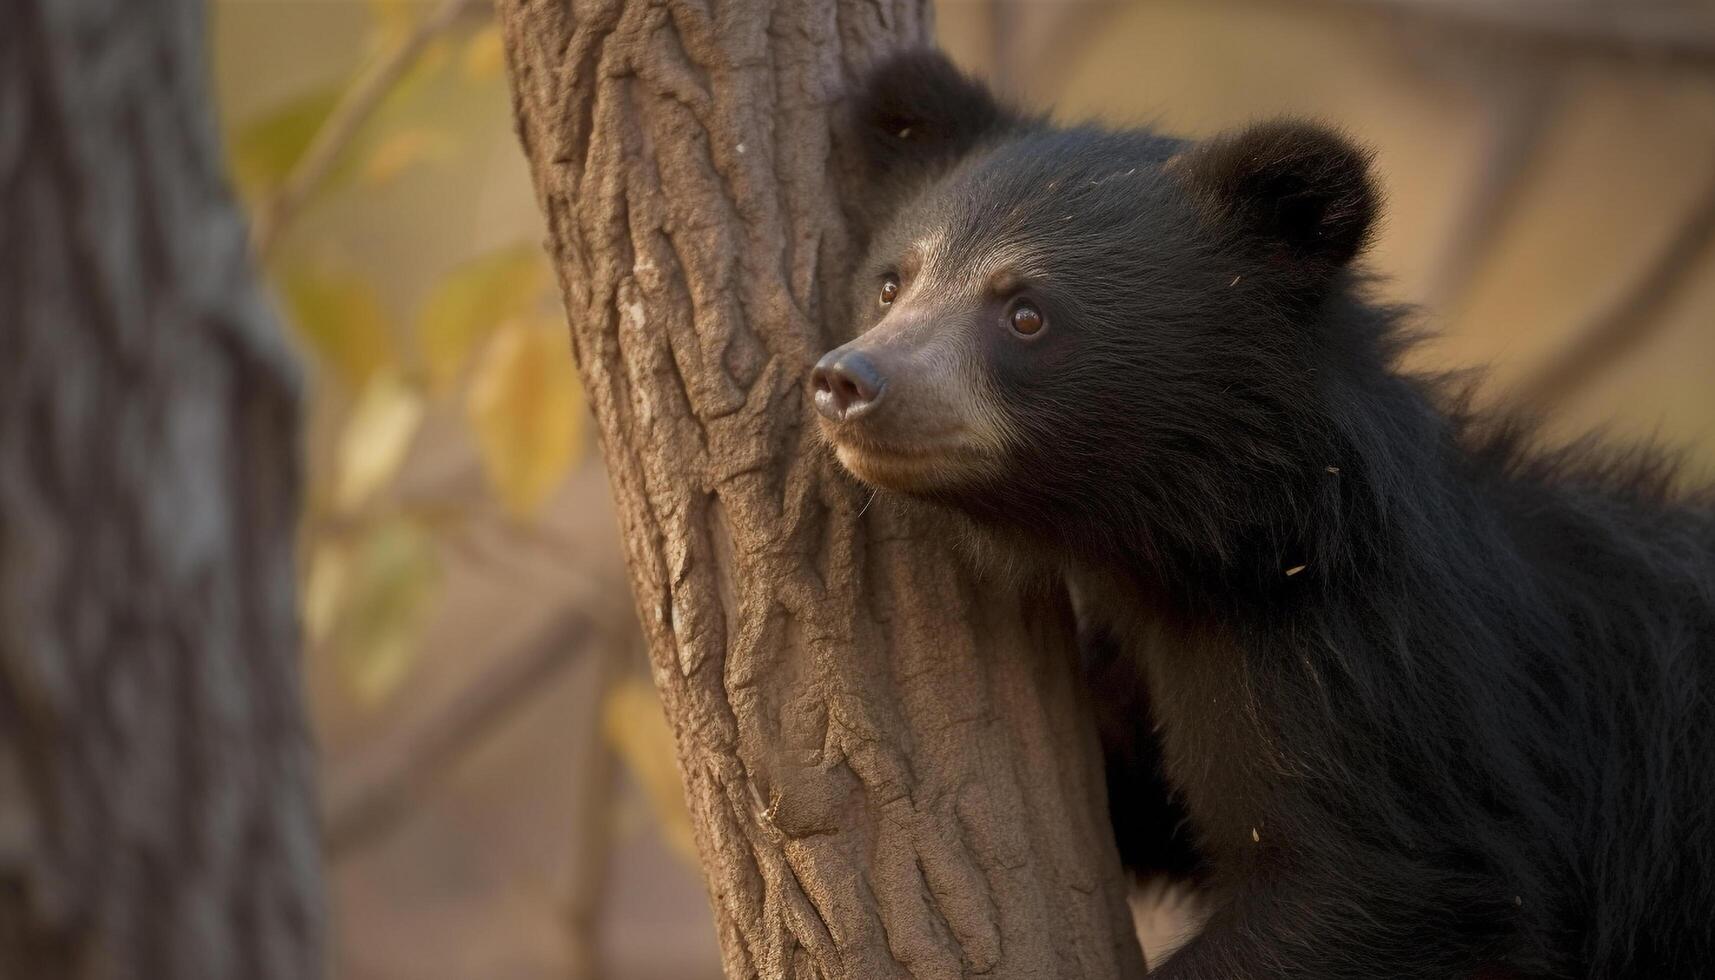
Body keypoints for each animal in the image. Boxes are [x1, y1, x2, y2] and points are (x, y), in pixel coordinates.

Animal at [809, 51, 1715, 980]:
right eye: (890, 285)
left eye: (1025, 314)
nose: (847, 381)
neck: (1207, 538)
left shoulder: (1365, 677)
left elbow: (1393, 884)